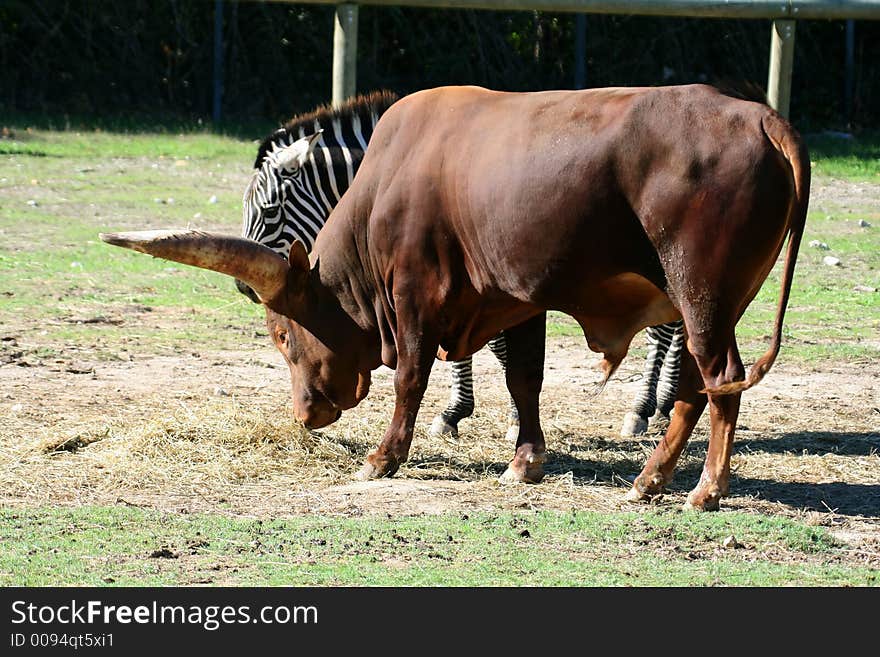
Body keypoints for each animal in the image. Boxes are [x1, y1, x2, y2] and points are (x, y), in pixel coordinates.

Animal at [241, 91, 688, 440]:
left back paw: (645, 408)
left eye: (270, 210)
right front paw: (456, 413)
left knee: (665, 330)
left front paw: (509, 417)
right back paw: (665, 403)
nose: (245, 289)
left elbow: (498, 349)